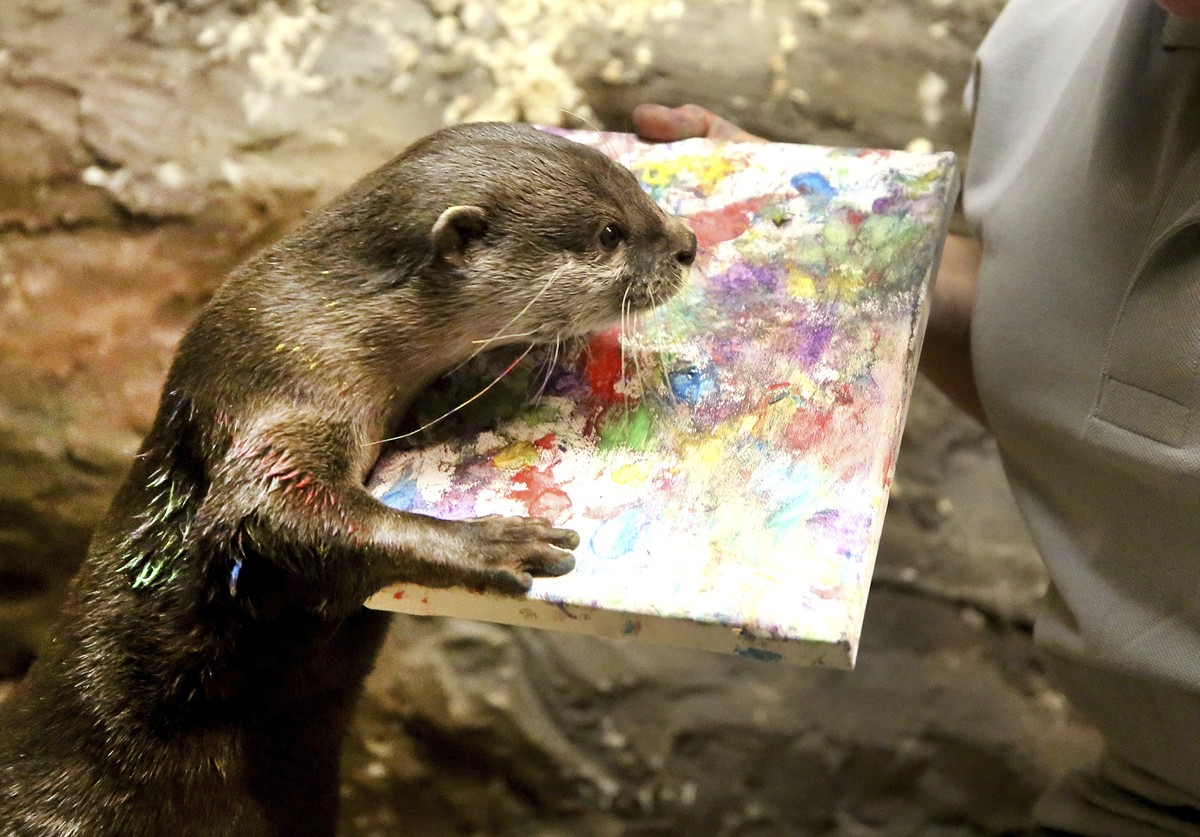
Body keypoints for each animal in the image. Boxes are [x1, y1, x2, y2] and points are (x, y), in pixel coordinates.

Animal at [0, 122, 697, 836]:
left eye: (637, 189)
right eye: (609, 232)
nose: (688, 244)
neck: (329, 324)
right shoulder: (283, 381)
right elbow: (258, 512)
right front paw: (490, 542)